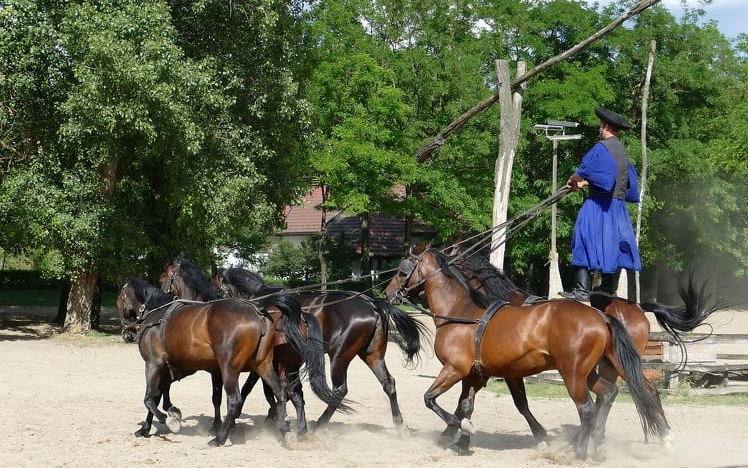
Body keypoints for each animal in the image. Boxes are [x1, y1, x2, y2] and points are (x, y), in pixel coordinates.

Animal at [115, 278, 344, 446]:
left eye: (119, 300)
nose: (126, 333)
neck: (158, 317)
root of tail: (258, 310)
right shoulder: (170, 369)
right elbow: (158, 397)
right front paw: (148, 426)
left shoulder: (154, 365)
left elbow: (149, 398)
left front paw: (170, 420)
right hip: (265, 365)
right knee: (282, 393)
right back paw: (286, 429)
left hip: (232, 369)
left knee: (236, 400)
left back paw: (220, 438)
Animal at [163, 256, 430, 436]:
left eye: (166, 275)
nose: (167, 292)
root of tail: (371, 303)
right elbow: (270, 390)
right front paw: (274, 416)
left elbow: (250, 390)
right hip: (372, 355)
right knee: (389, 384)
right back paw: (400, 425)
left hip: (339, 356)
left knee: (340, 390)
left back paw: (320, 423)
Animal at [382, 249, 668, 460]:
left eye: (402, 269)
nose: (387, 292)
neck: (462, 312)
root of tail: (602, 315)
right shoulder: (476, 374)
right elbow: (467, 405)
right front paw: (461, 440)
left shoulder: (455, 369)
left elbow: (430, 399)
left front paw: (458, 429)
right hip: (592, 371)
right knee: (609, 394)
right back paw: (599, 445)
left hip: (574, 373)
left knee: (589, 407)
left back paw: (579, 451)